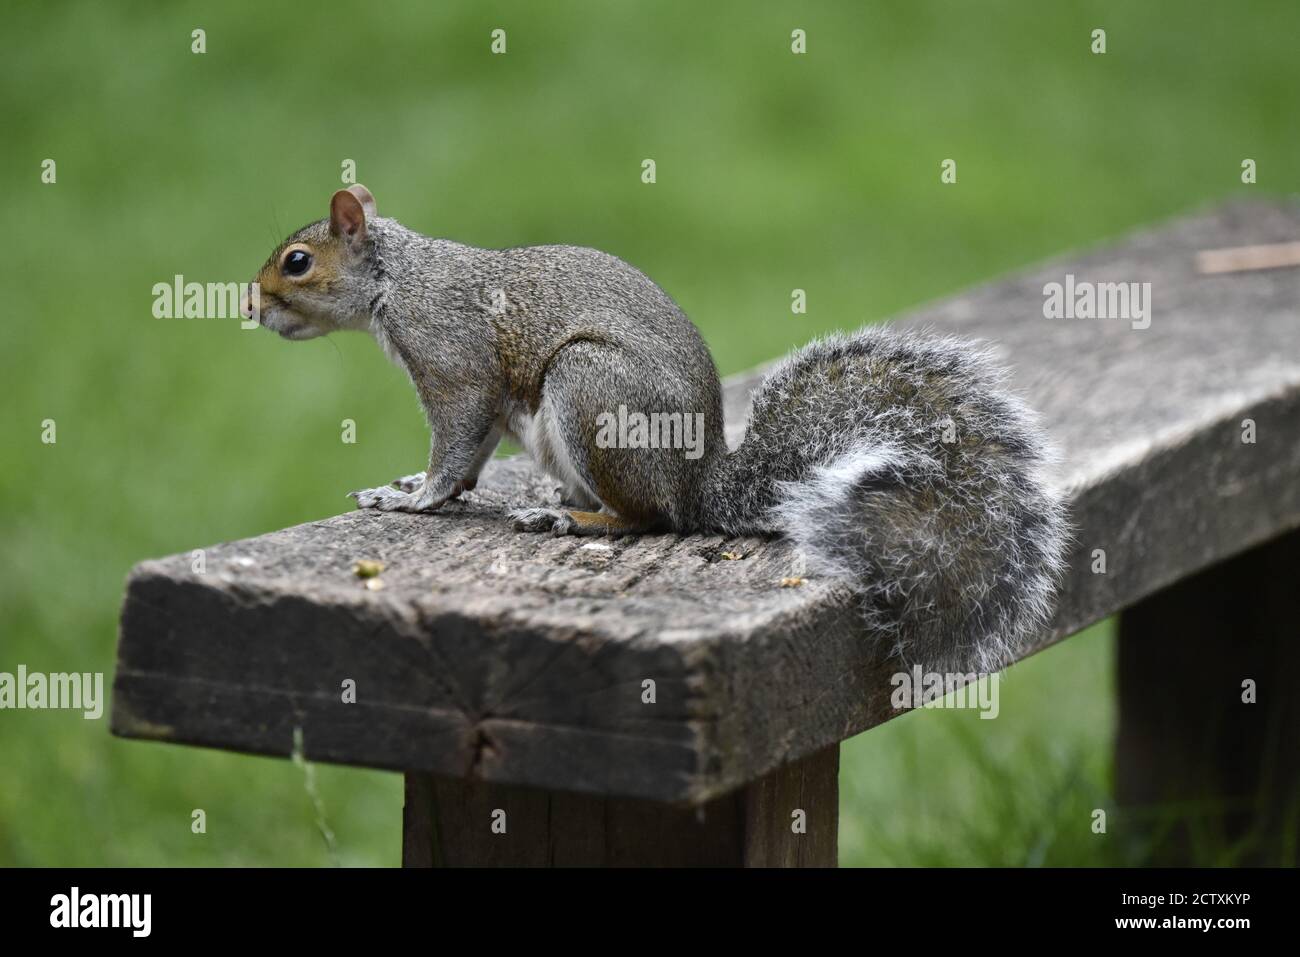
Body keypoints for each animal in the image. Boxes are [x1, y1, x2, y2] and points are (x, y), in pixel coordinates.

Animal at [241, 183, 1066, 670]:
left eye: (297, 260)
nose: (250, 307)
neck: (397, 281)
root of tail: (697, 482)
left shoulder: (455, 364)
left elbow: (455, 445)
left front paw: (412, 498)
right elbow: (467, 461)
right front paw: (413, 486)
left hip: (590, 392)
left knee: (648, 518)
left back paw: (572, 517)